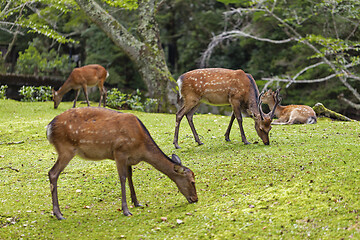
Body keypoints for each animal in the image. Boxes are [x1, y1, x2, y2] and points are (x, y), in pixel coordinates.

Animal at [46, 107, 198, 219]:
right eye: (192, 181)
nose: (195, 199)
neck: (142, 148)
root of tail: (49, 128)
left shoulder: (129, 159)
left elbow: (130, 177)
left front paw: (137, 203)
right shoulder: (119, 152)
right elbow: (123, 178)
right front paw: (126, 210)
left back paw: (58, 212)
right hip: (66, 149)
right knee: (52, 173)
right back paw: (58, 214)